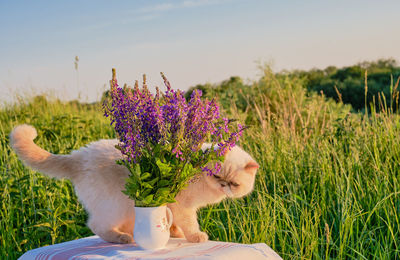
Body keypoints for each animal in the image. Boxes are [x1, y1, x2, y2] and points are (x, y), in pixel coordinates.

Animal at [10, 124, 260, 244]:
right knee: (96, 225)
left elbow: (176, 226)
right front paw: (196, 237)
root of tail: (79, 155)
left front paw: (176, 235)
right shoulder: (183, 207)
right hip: (117, 207)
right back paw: (122, 239)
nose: (224, 186)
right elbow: (190, 226)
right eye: (218, 177)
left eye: (233, 183)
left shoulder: (175, 207)